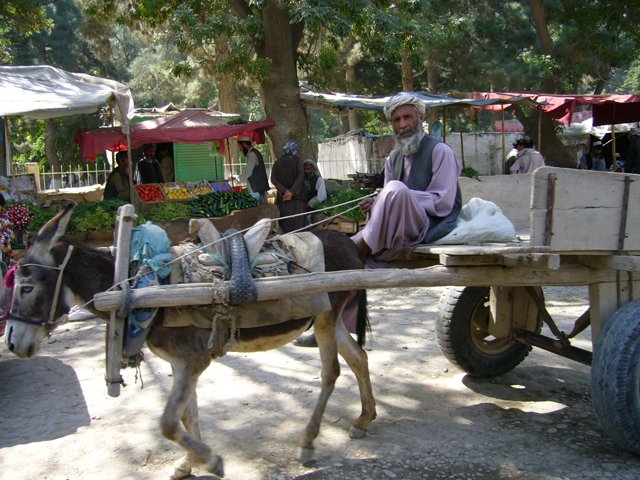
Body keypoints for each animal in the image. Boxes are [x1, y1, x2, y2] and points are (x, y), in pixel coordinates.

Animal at [4, 202, 377, 479]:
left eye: (26, 287)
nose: (12, 345)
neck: (137, 285)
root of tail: (348, 243)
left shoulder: (194, 360)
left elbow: (168, 423)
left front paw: (210, 461)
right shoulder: (183, 363)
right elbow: (187, 414)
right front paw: (189, 463)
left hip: (326, 317)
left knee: (331, 372)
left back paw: (308, 442)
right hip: (328, 317)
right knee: (358, 357)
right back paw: (364, 419)